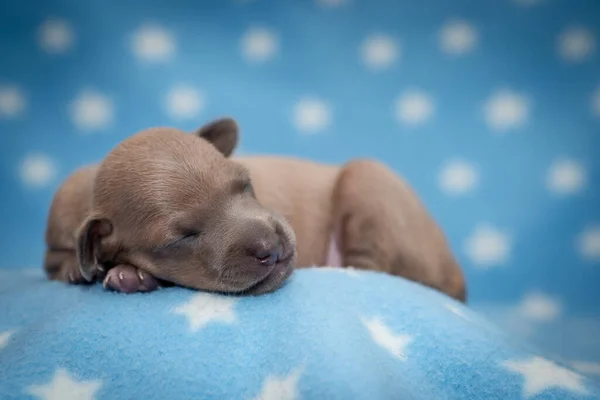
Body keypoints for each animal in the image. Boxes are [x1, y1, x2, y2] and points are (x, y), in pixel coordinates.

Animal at [76, 117, 468, 302]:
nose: (272, 247)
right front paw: (130, 274)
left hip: (365, 178)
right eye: (183, 238)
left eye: (246, 184)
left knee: (370, 268)